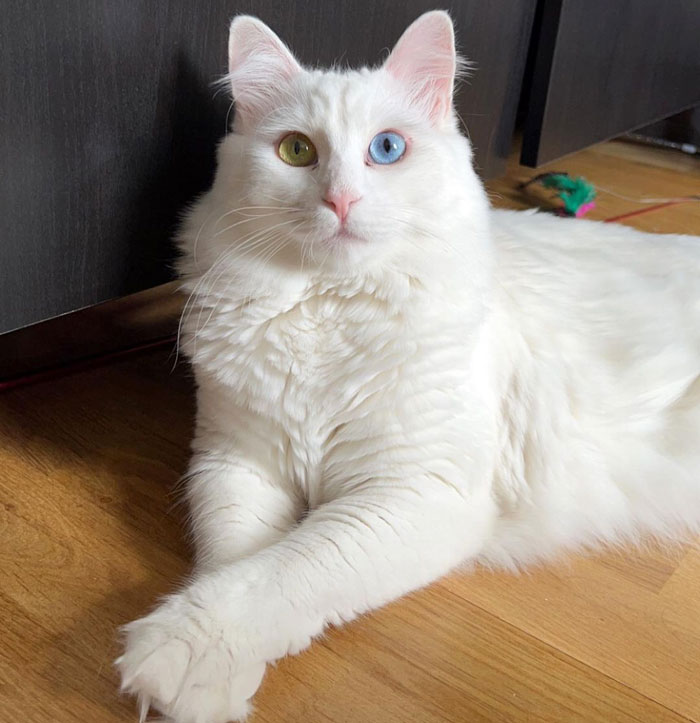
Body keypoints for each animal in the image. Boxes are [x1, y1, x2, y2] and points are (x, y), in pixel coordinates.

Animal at [116, 12, 700, 723]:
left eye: (387, 149)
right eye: (296, 152)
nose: (340, 200)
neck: (327, 309)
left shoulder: (415, 493)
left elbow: (282, 572)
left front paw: (177, 654)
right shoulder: (235, 462)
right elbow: (234, 559)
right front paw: (216, 689)